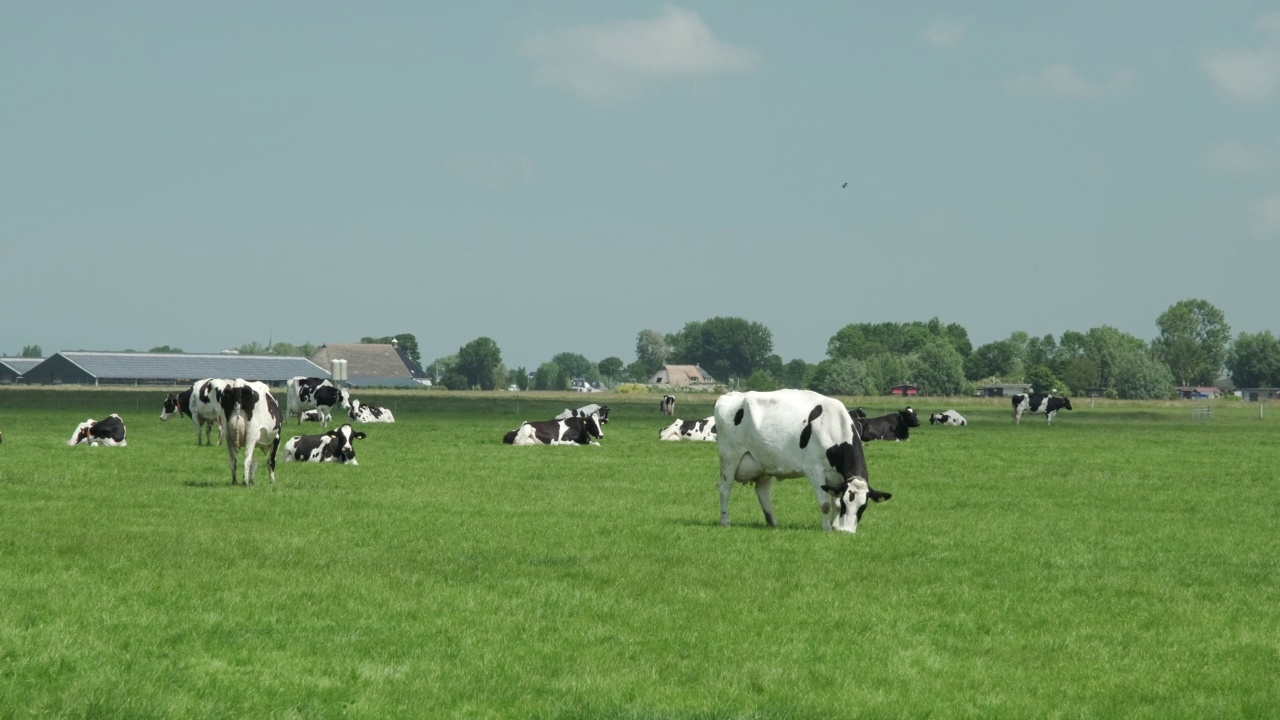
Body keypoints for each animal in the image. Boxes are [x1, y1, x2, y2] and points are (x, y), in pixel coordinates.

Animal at [711, 389, 890, 530]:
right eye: (848, 504)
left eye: (863, 507)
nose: (847, 532)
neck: (833, 425)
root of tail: (729, 395)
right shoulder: (815, 469)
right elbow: (825, 504)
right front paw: (827, 528)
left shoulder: (837, 477)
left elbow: (835, 503)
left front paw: (835, 526)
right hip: (729, 458)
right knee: (725, 488)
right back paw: (725, 521)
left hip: (765, 462)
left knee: (763, 492)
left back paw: (772, 522)